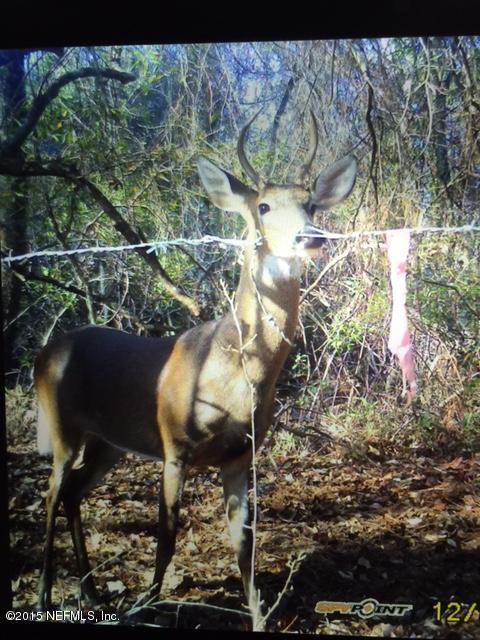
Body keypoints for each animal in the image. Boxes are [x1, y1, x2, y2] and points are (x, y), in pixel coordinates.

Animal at [35, 110, 357, 616]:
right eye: (264, 206)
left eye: (311, 204)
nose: (311, 236)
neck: (236, 376)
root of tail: (46, 350)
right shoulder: (175, 447)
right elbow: (166, 536)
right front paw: (145, 603)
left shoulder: (240, 457)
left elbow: (244, 544)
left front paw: (258, 613)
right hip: (63, 425)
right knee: (51, 493)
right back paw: (47, 591)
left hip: (109, 442)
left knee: (72, 492)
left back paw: (89, 590)